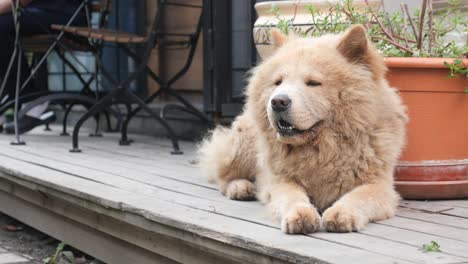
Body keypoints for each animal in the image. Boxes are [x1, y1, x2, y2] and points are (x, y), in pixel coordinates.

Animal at [199, 25, 408, 233]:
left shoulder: (378, 185)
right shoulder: (280, 181)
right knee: (222, 174)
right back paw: (240, 187)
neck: (322, 149)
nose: (278, 102)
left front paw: (341, 214)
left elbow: (359, 197)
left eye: (313, 83)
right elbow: (293, 197)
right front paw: (301, 215)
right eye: (278, 82)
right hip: (244, 145)